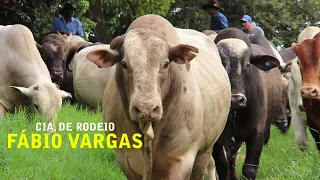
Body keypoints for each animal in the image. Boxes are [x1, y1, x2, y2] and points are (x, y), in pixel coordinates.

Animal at [212, 28, 282, 180]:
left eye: (248, 64)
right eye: (220, 64)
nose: (235, 99)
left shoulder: (257, 133)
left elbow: (249, 170)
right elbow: (222, 167)